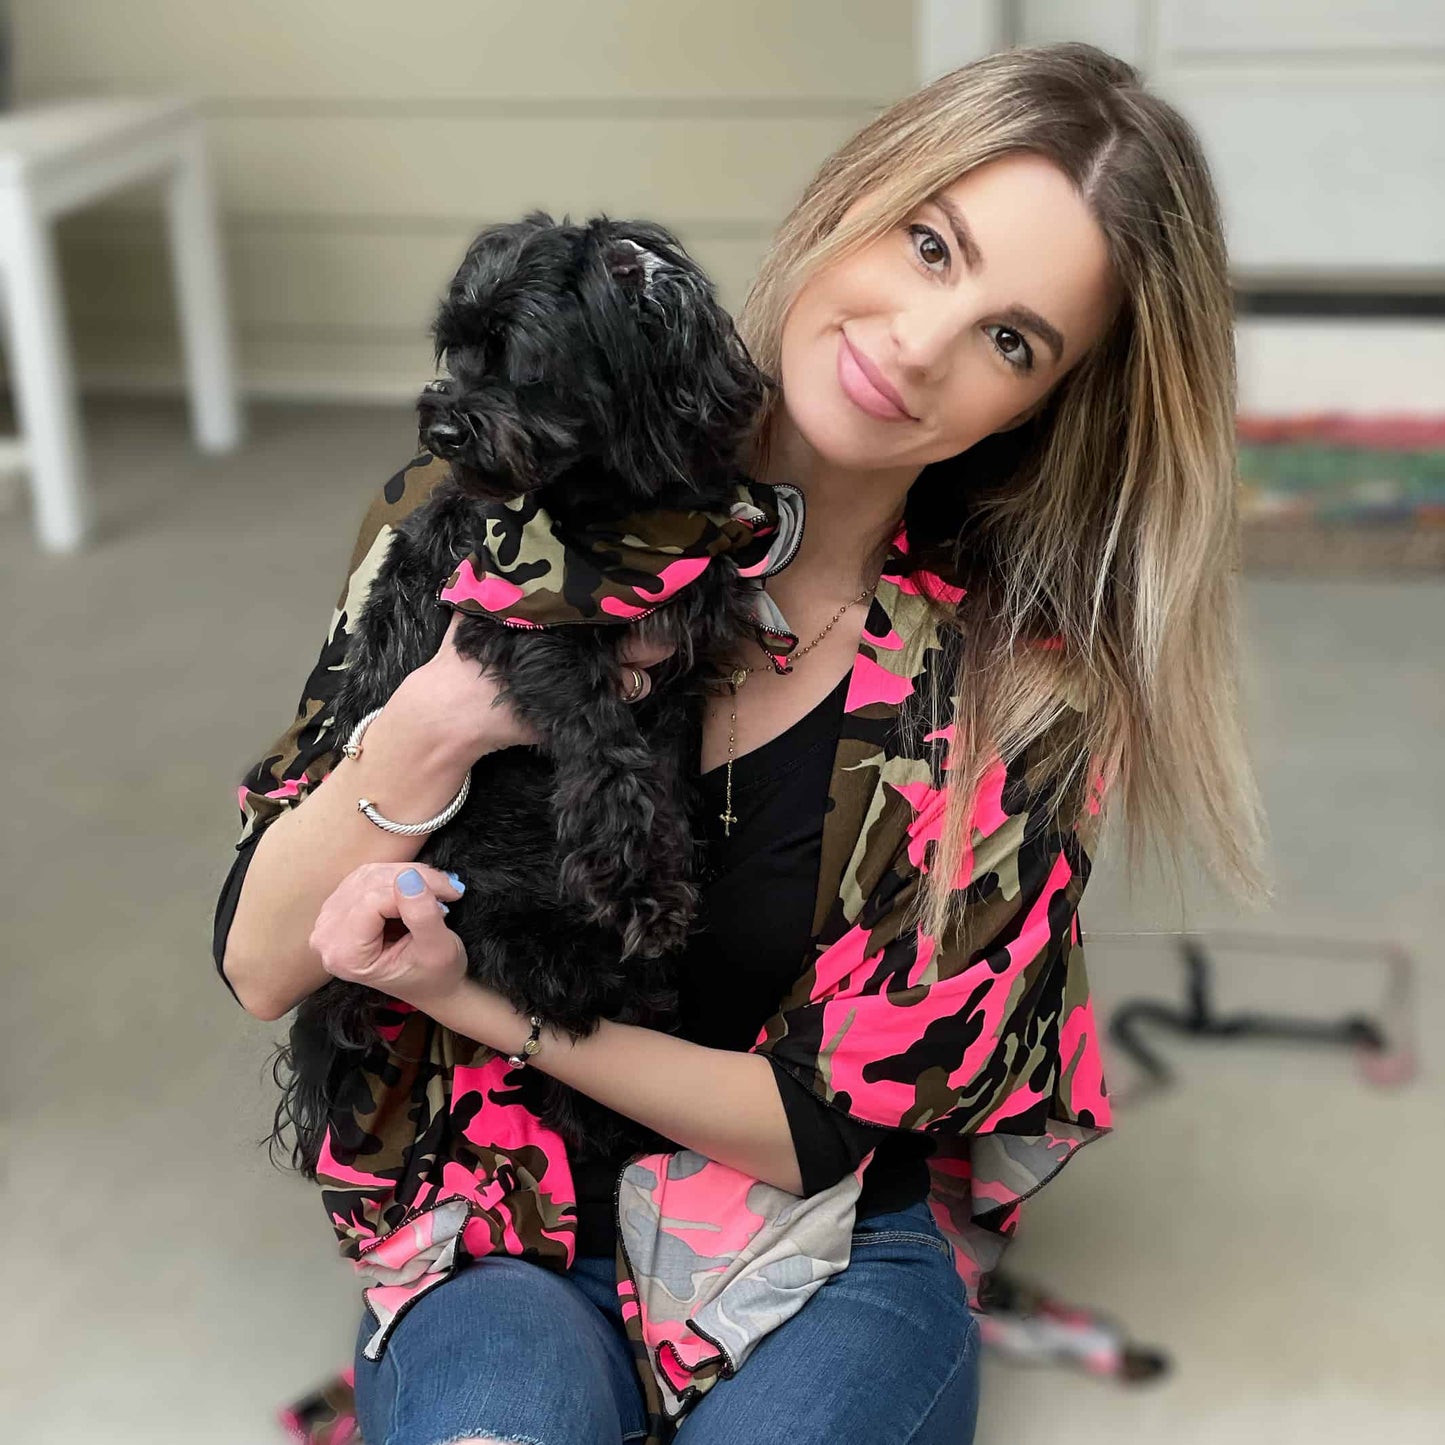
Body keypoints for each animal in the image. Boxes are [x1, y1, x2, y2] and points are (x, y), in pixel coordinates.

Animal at [271, 210, 803, 1173]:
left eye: (518, 354)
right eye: (454, 348)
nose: (440, 426)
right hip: (511, 922)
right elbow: (604, 743)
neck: (611, 516)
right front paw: (638, 876)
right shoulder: (506, 619)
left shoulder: (692, 622)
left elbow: (659, 742)